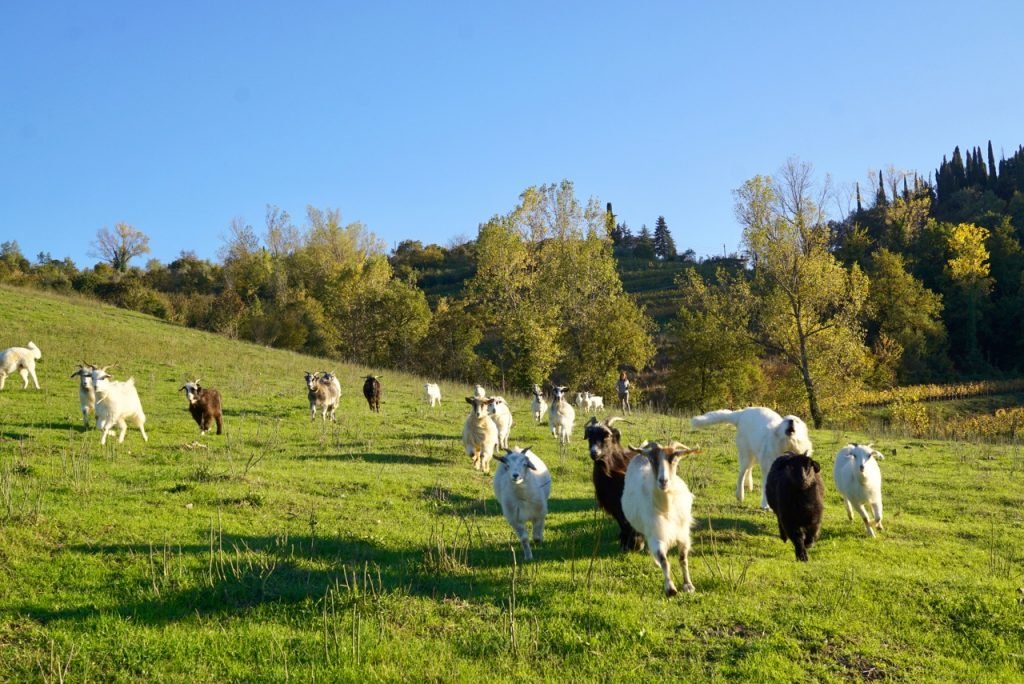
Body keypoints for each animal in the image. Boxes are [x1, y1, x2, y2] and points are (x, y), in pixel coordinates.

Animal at [585, 417, 638, 548]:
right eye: (589, 436)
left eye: (607, 435)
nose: (594, 452)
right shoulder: (612, 503)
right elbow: (622, 522)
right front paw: (625, 542)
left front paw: (635, 542)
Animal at [618, 440, 700, 593]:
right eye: (653, 460)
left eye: (674, 459)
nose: (663, 481)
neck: (666, 508)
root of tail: (641, 454)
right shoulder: (656, 533)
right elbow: (664, 560)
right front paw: (670, 588)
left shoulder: (682, 533)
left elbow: (683, 559)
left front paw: (688, 585)